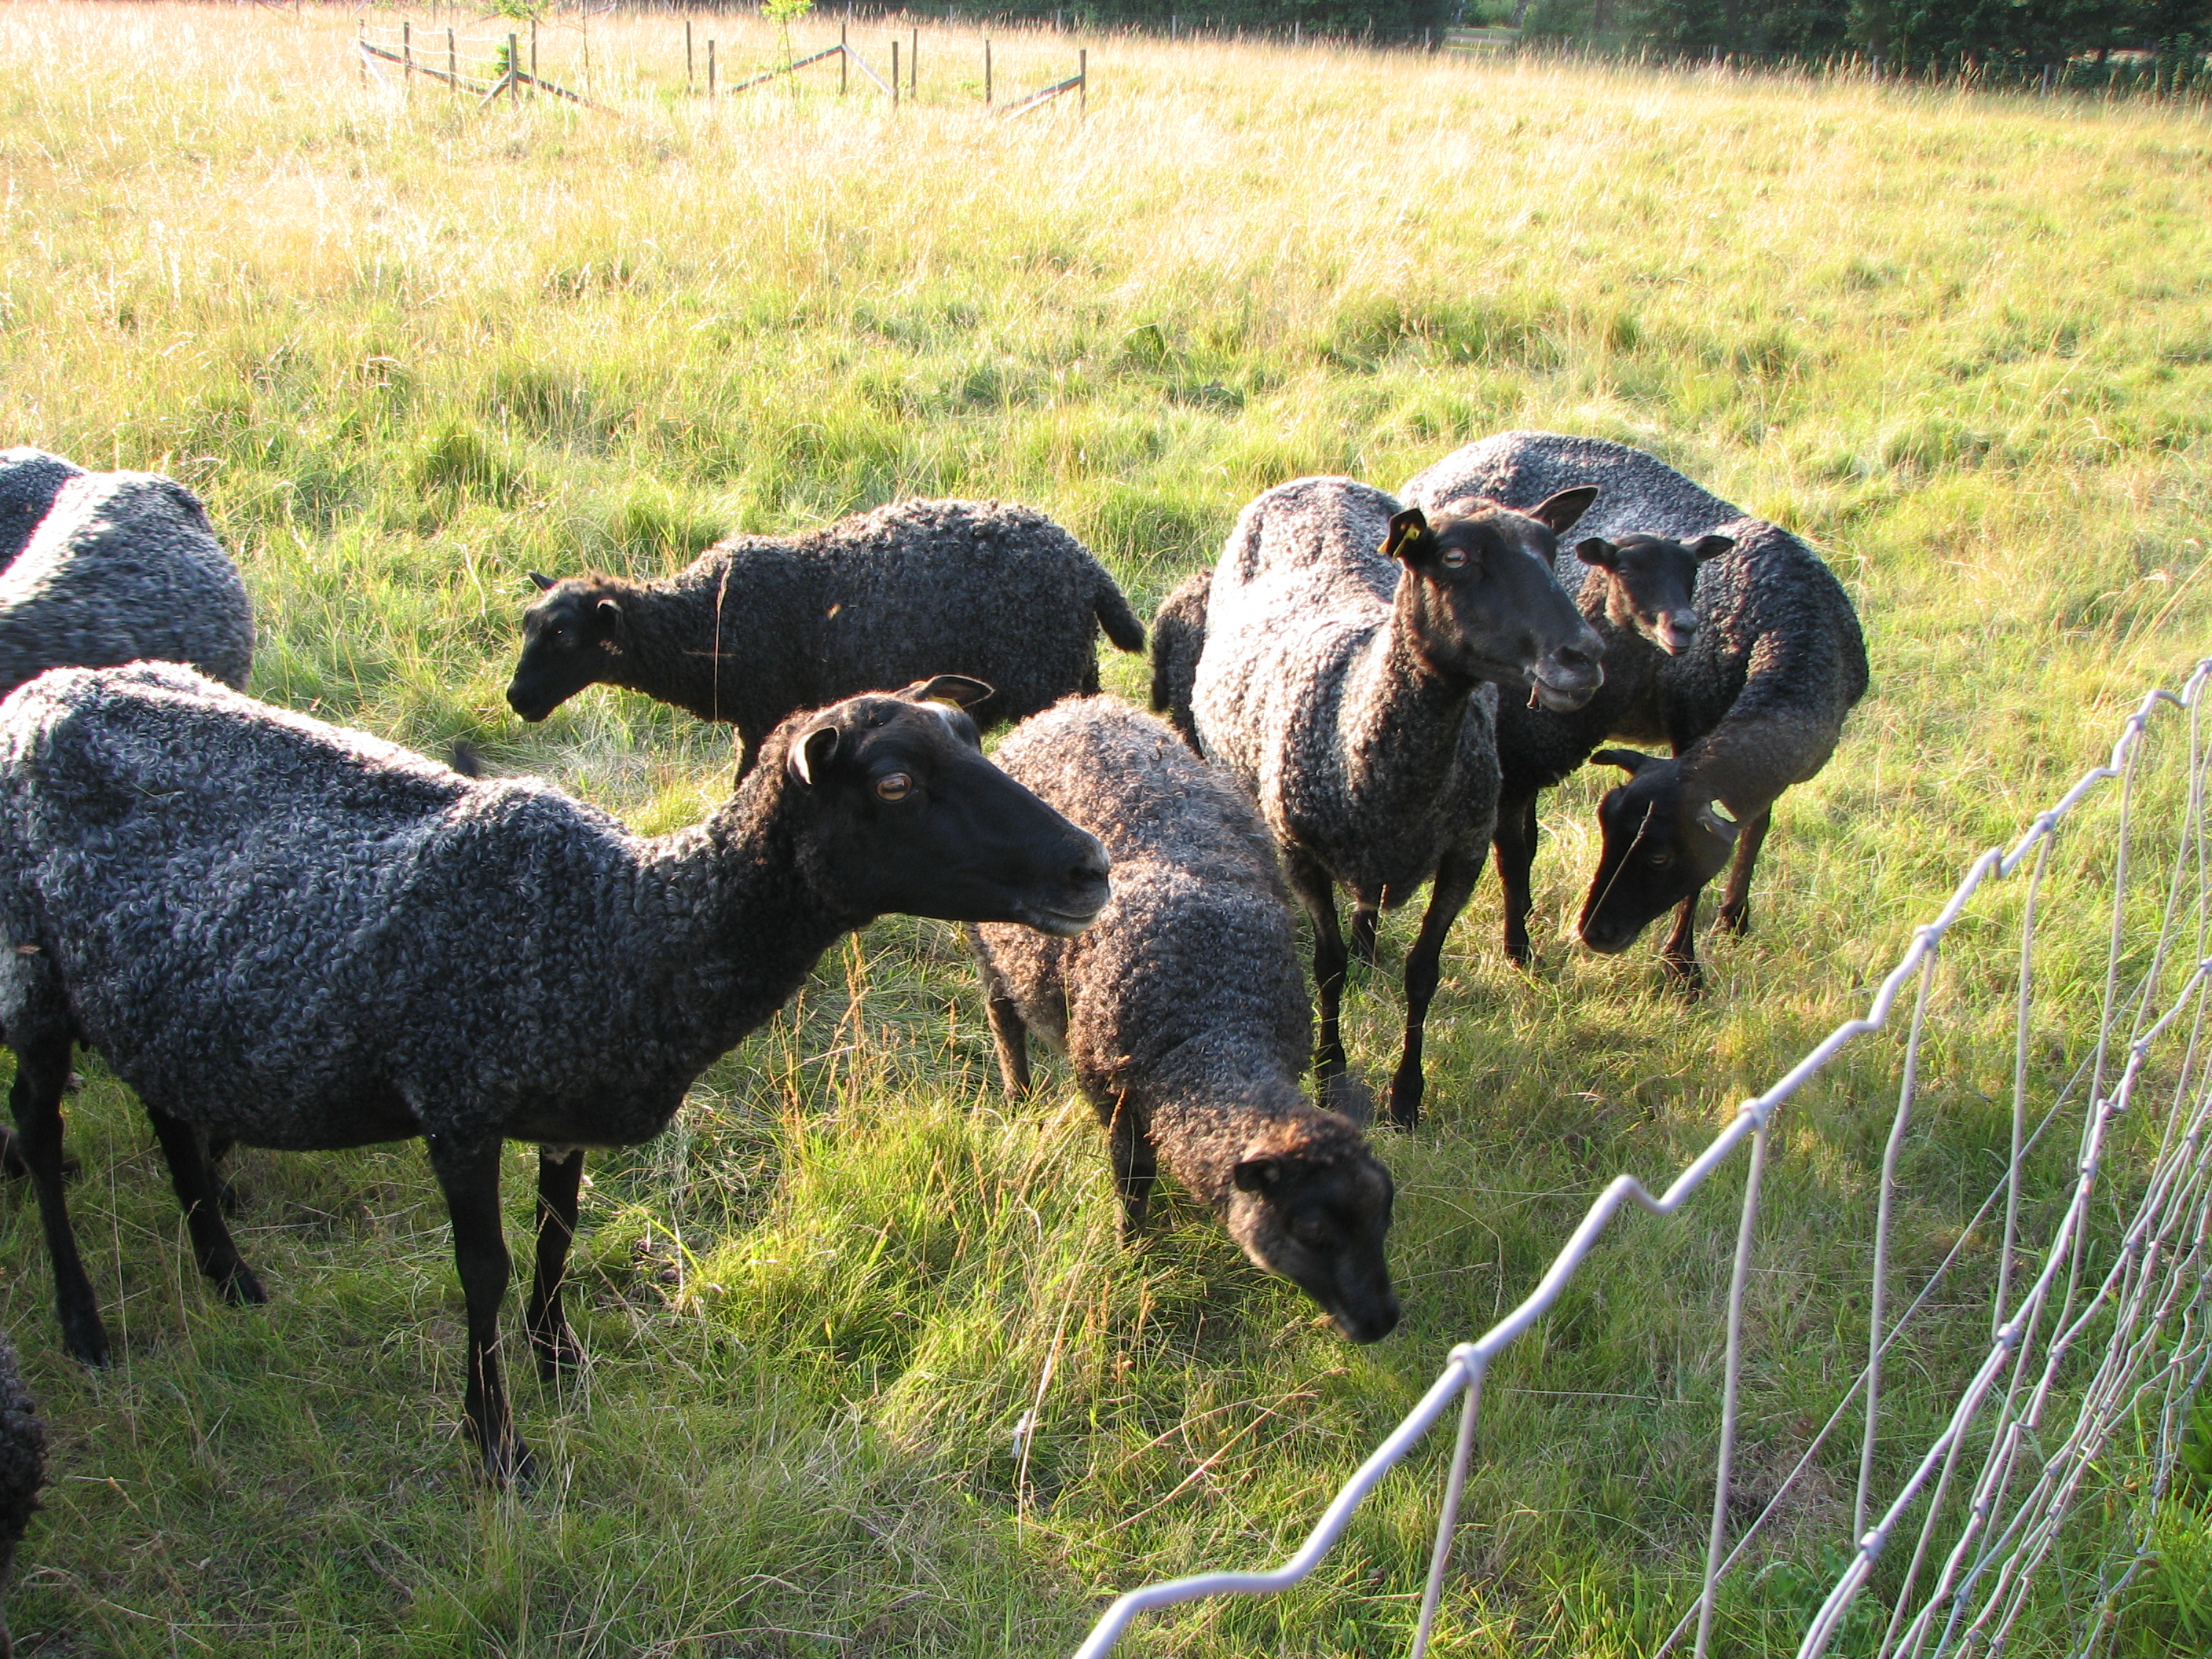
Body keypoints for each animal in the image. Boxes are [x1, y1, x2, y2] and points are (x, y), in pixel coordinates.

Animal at [0, 662, 1110, 1482]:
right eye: (893, 784)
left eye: (968, 739)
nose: (1089, 867)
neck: (622, 926)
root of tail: (46, 689)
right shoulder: (456, 1100)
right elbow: (484, 1269)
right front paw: (497, 1445)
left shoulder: (563, 1104)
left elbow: (558, 1233)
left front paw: (559, 1362)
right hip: (36, 978)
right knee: (40, 1139)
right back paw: (83, 1324)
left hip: (148, 993)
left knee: (168, 1113)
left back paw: (227, 1273)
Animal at [507, 498, 1146, 770]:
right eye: (528, 624)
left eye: (565, 635)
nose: (517, 699)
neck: (702, 619)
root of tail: (1087, 566)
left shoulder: (762, 715)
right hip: (1077, 669)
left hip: (1049, 677)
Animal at [968, 697, 1399, 1343]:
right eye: (1311, 1230)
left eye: (1384, 1209)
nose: (1381, 1321)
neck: (1214, 1023)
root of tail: (1070, 707)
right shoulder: (1112, 1087)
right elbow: (1133, 1176)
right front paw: (1133, 1249)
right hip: (988, 946)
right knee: (1004, 1020)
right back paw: (1017, 1096)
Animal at [1190, 475, 1605, 1128]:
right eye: (1455, 558)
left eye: (1550, 548)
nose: (1583, 656)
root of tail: (1320, 481)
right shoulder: (1300, 854)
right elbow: (1327, 967)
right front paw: (1331, 1077)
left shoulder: (1464, 853)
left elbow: (1423, 972)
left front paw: (1407, 1096)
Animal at [1488, 531, 1735, 967]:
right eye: (1625, 569)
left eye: (1692, 569)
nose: (1684, 627)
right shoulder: (1510, 781)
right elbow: (1513, 860)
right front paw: (1519, 951)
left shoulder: (1528, 777)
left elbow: (1530, 847)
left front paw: (1526, 915)